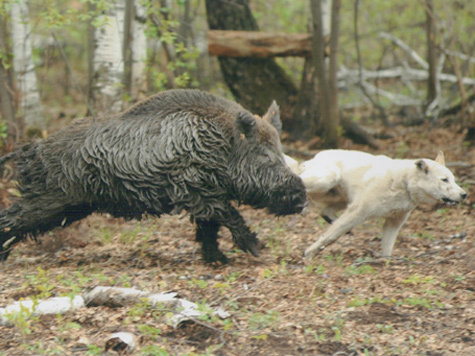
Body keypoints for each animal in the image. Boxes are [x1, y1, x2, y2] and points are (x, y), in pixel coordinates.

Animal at [292, 149, 466, 258]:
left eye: (453, 180)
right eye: (444, 180)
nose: (464, 195)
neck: (404, 183)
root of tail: (314, 157)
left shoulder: (393, 223)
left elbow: (387, 249)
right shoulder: (357, 212)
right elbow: (329, 236)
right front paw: (309, 253)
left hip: (341, 199)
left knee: (324, 212)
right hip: (328, 180)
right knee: (299, 181)